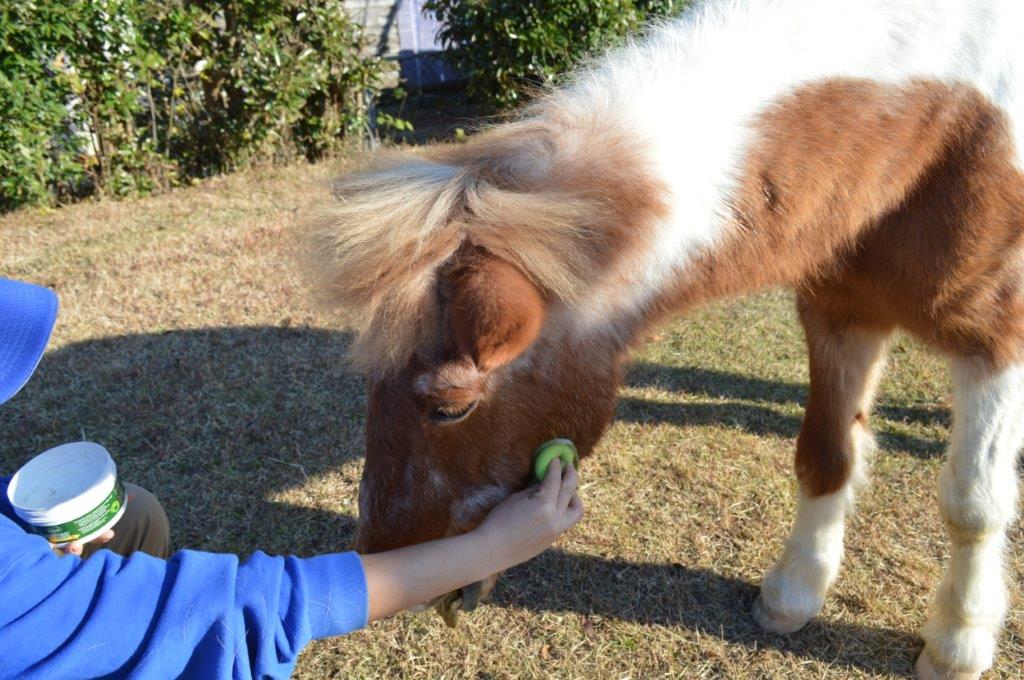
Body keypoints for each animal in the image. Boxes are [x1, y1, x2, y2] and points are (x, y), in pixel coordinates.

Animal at [307, 2, 1024, 675]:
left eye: (451, 407)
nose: (384, 564)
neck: (951, 119)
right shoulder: (841, 313)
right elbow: (826, 456)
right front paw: (794, 594)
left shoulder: (997, 341)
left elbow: (974, 502)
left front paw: (958, 645)